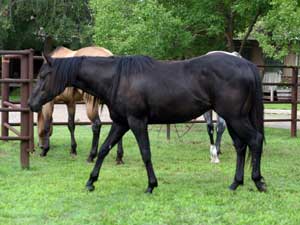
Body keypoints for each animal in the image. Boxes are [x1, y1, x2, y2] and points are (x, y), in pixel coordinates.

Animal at [29, 51, 266, 193]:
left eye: (43, 76)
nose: (31, 104)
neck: (118, 79)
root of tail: (246, 64)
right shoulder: (121, 123)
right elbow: (105, 149)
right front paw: (91, 181)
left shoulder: (137, 122)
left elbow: (145, 153)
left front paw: (151, 185)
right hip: (234, 119)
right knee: (241, 146)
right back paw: (235, 183)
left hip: (235, 117)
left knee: (255, 141)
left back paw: (257, 181)